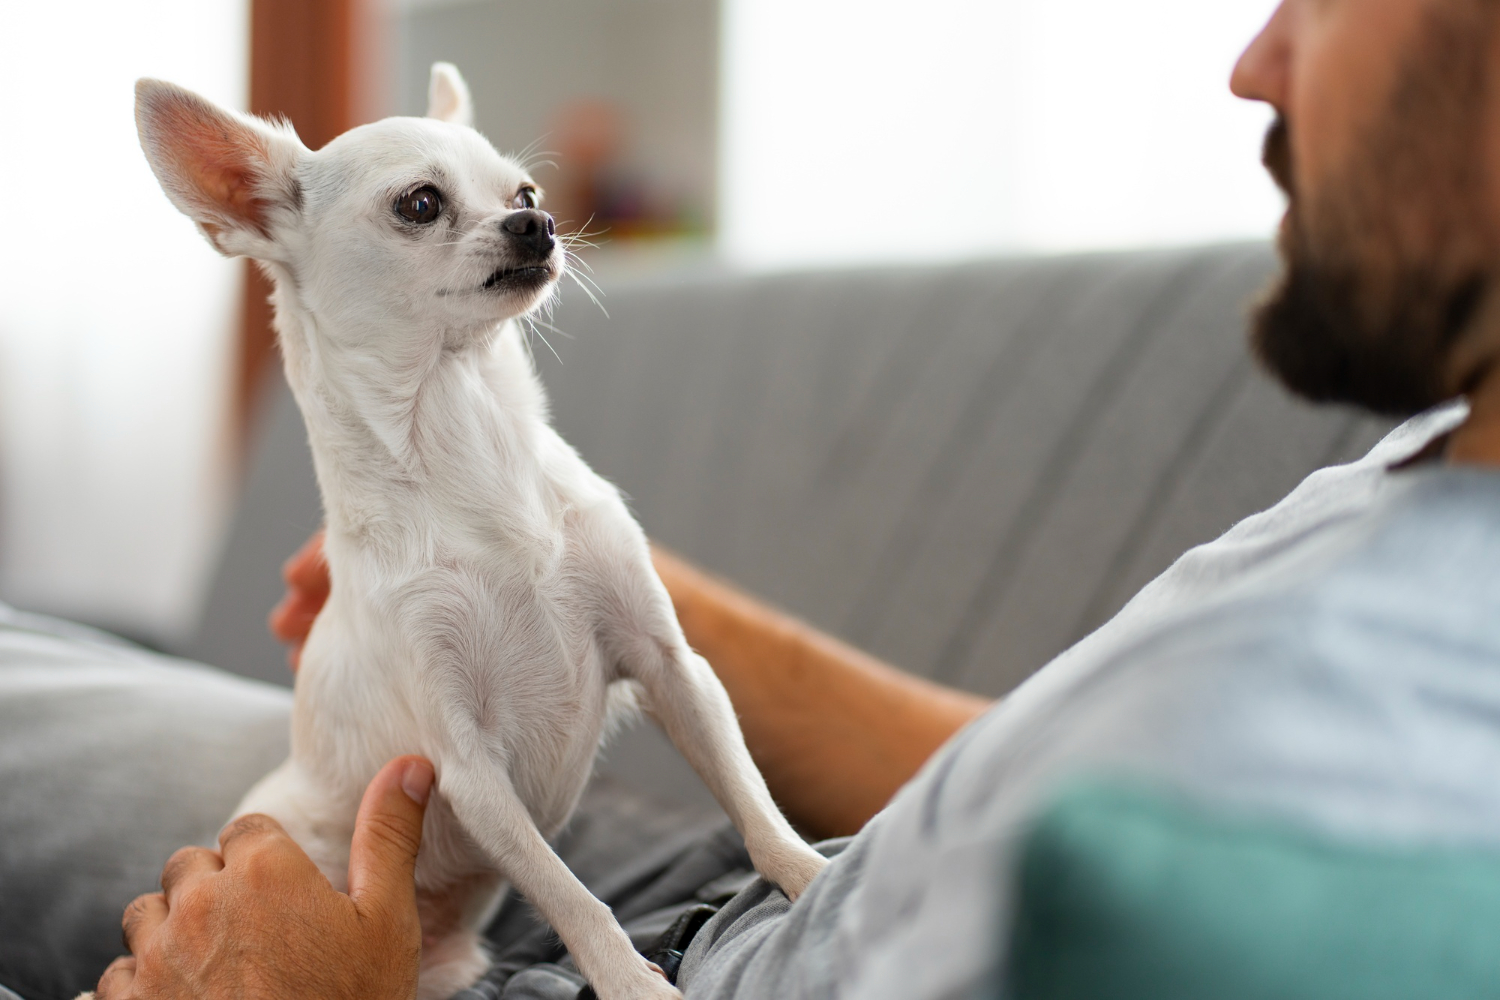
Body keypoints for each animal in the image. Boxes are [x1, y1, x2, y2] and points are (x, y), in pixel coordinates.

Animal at [131, 63, 827, 1000]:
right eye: (421, 203)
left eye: (525, 192)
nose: (537, 223)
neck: (467, 435)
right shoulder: (470, 771)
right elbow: (571, 894)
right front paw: (632, 981)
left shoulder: (675, 669)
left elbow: (750, 799)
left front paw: (811, 873)